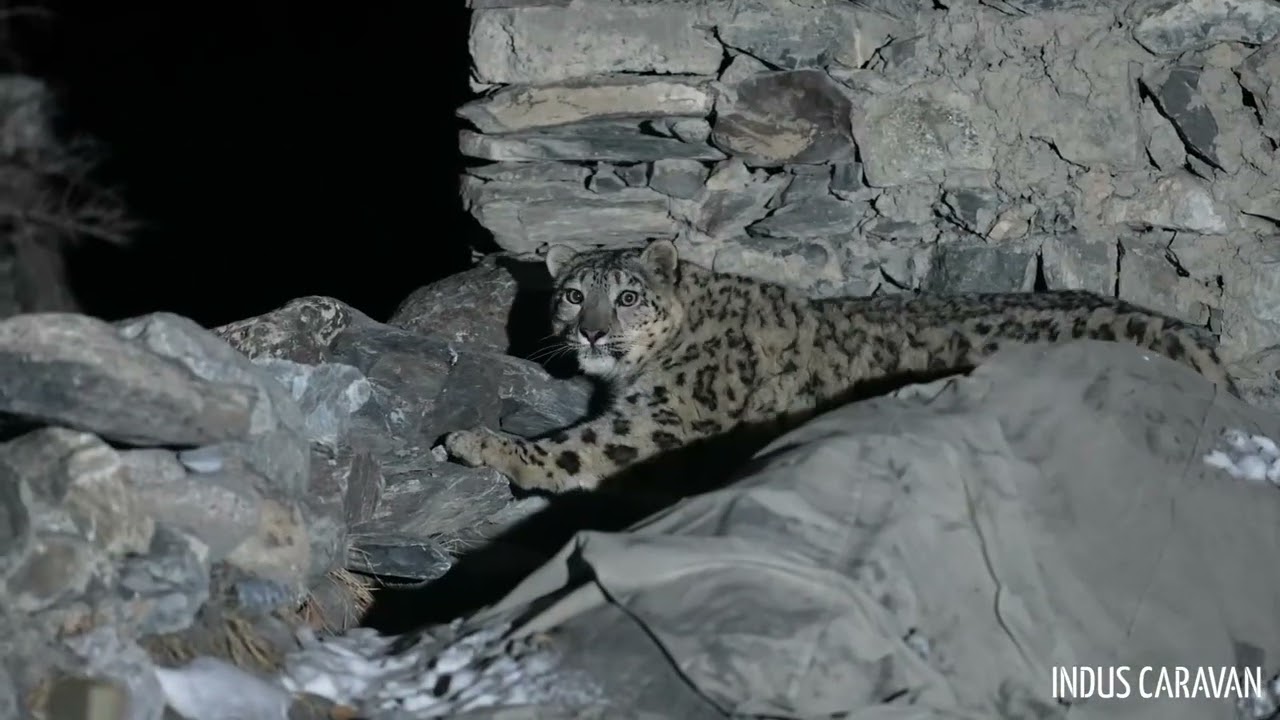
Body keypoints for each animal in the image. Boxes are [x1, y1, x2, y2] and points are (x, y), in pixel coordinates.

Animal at [442, 238, 1239, 494]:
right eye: (574, 294)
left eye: (629, 295)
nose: (593, 332)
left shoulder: (662, 416)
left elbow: (576, 449)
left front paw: (479, 442)